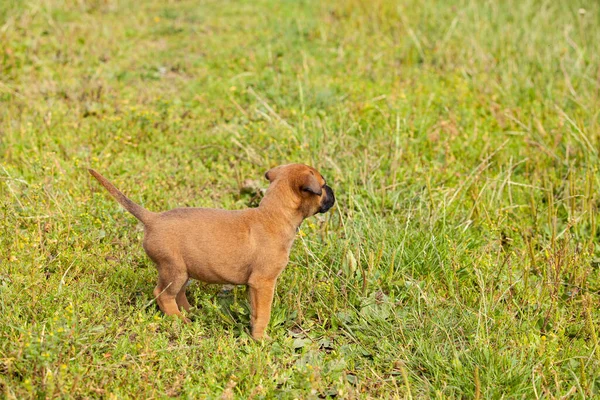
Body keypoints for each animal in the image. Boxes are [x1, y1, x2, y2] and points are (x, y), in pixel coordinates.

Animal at [89, 164, 336, 340]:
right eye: (322, 186)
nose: (333, 192)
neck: (274, 215)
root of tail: (153, 219)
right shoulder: (264, 283)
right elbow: (264, 314)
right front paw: (261, 339)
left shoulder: (254, 286)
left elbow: (256, 312)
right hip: (173, 270)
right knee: (163, 294)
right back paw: (180, 321)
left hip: (184, 272)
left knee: (178, 294)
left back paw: (191, 313)